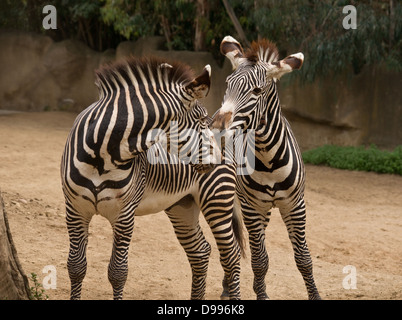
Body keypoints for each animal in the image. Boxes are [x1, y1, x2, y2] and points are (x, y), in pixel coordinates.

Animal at [60, 55, 234, 300]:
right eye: (201, 120)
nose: (220, 159)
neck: (101, 156)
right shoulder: (75, 210)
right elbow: (76, 266)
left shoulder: (124, 215)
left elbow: (118, 272)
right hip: (182, 205)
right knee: (200, 252)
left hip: (217, 200)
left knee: (231, 256)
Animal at [210, 35, 320, 300]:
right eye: (227, 84)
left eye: (257, 91)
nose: (216, 129)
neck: (267, 159)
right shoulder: (251, 207)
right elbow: (260, 260)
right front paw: (260, 294)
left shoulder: (295, 204)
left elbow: (304, 259)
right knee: (231, 245)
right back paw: (228, 285)